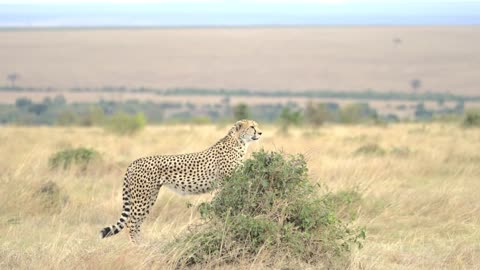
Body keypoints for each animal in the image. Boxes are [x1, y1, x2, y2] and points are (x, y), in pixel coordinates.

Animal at [99, 119, 260, 242]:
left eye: (256, 125)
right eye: (252, 126)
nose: (260, 133)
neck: (239, 142)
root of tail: (134, 161)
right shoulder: (225, 182)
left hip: (150, 196)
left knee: (136, 222)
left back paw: (144, 244)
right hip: (143, 198)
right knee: (131, 223)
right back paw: (139, 247)